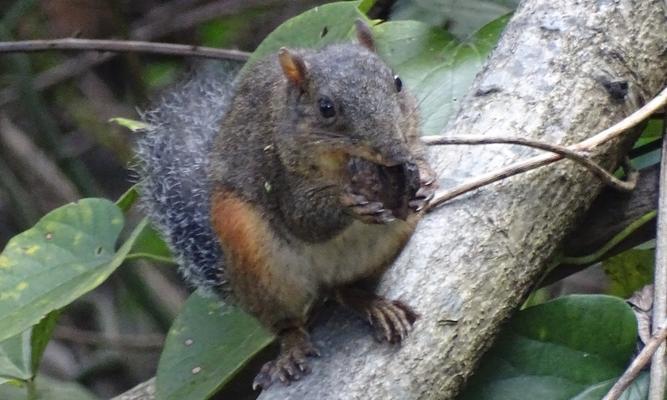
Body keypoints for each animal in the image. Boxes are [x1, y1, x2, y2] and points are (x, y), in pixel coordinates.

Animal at [136, 20, 438, 390]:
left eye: (397, 82)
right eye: (326, 107)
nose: (394, 153)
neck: (343, 163)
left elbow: (417, 150)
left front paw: (425, 176)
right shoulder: (278, 175)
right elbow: (303, 219)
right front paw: (349, 202)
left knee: (344, 290)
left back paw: (372, 303)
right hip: (254, 257)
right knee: (286, 322)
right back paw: (292, 347)